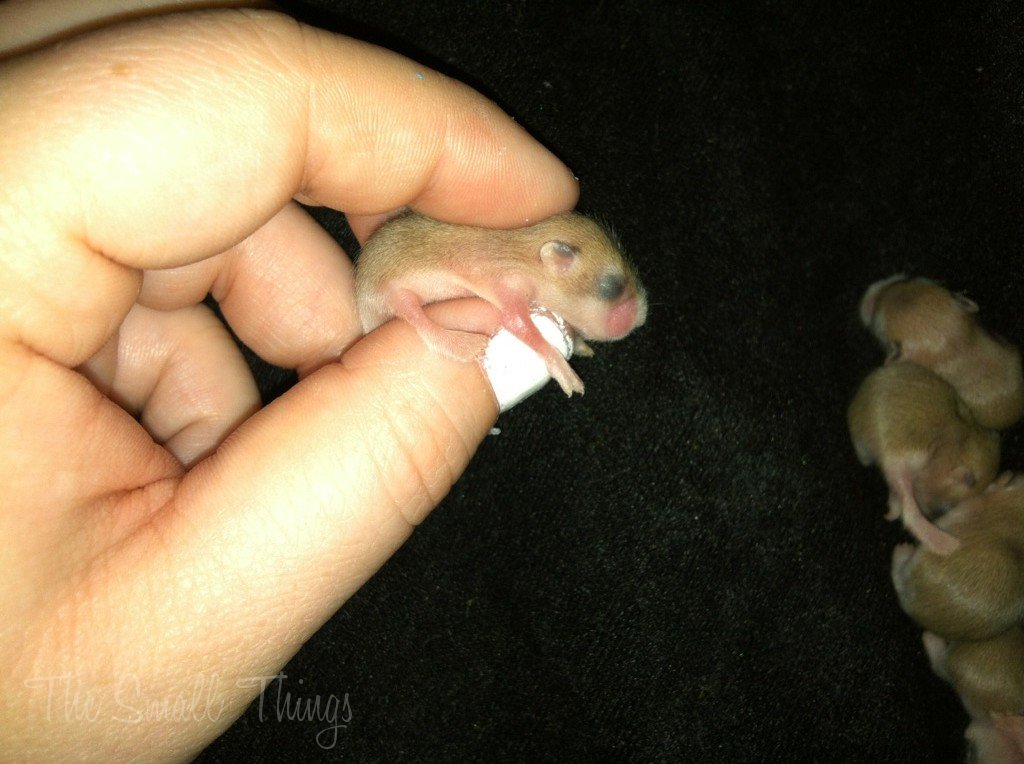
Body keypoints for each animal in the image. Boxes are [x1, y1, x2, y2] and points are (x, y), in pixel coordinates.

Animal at [354, 211, 648, 396]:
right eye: (611, 286)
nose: (642, 317)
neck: (531, 257)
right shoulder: (506, 285)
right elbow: (517, 323)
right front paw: (565, 372)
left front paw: (580, 344)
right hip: (395, 296)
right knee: (417, 318)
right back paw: (465, 344)